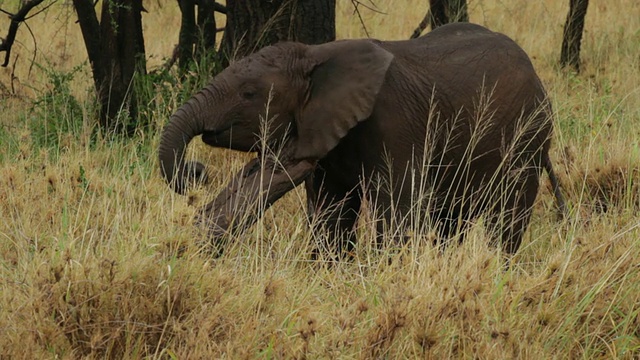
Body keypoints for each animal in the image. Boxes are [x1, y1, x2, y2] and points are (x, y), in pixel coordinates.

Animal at [159, 22, 564, 258]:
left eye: (248, 93)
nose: (196, 171)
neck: (316, 55)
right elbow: (331, 210)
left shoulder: (395, 124)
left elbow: (396, 208)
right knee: (452, 219)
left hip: (526, 136)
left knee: (506, 214)